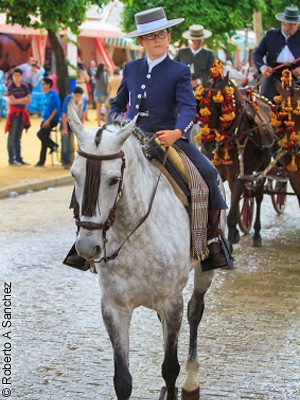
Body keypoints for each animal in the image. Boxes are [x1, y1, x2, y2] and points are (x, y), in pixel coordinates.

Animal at [67, 104, 218, 398]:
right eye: (73, 174)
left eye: (114, 179)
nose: (87, 247)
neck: (133, 232)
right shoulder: (114, 307)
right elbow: (122, 379)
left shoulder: (171, 301)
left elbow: (170, 368)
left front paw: (176, 381)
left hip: (205, 270)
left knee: (195, 310)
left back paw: (191, 379)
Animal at [196, 73, 276, 245]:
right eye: (201, 104)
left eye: (219, 106)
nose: (207, 143)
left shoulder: (238, 178)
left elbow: (231, 215)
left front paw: (232, 236)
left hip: (263, 166)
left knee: (258, 196)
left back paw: (257, 234)